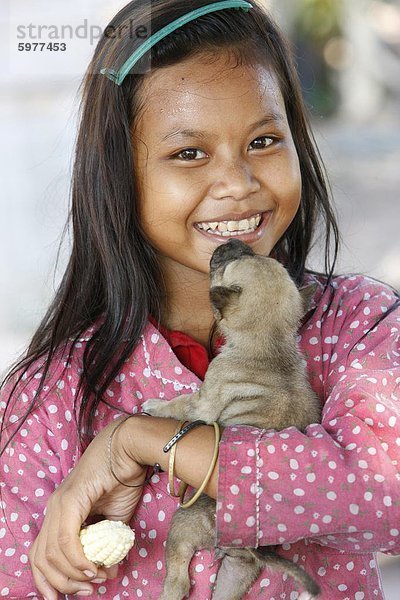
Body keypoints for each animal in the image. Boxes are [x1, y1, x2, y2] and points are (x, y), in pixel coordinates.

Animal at [144, 239, 322, 600]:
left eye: (227, 265)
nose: (233, 242)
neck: (270, 341)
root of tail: (250, 547)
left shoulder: (203, 401)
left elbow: (180, 404)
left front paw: (155, 406)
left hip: (182, 525)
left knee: (179, 576)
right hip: (238, 572)